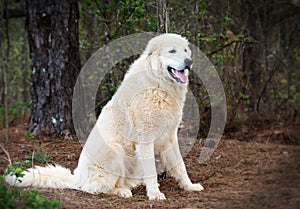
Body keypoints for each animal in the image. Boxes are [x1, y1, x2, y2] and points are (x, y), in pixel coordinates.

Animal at [5, 33, 204, 200]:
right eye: (172, 51)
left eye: (185, 50)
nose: (189, 61)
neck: (159, 84)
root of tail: (78, 178)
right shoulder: (145, 140)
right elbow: (153, 171)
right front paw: (155, 195)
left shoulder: (170, 138)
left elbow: (180, 166)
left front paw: (190, 187)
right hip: (116, 150)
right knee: (98, 188)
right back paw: (122, 191)